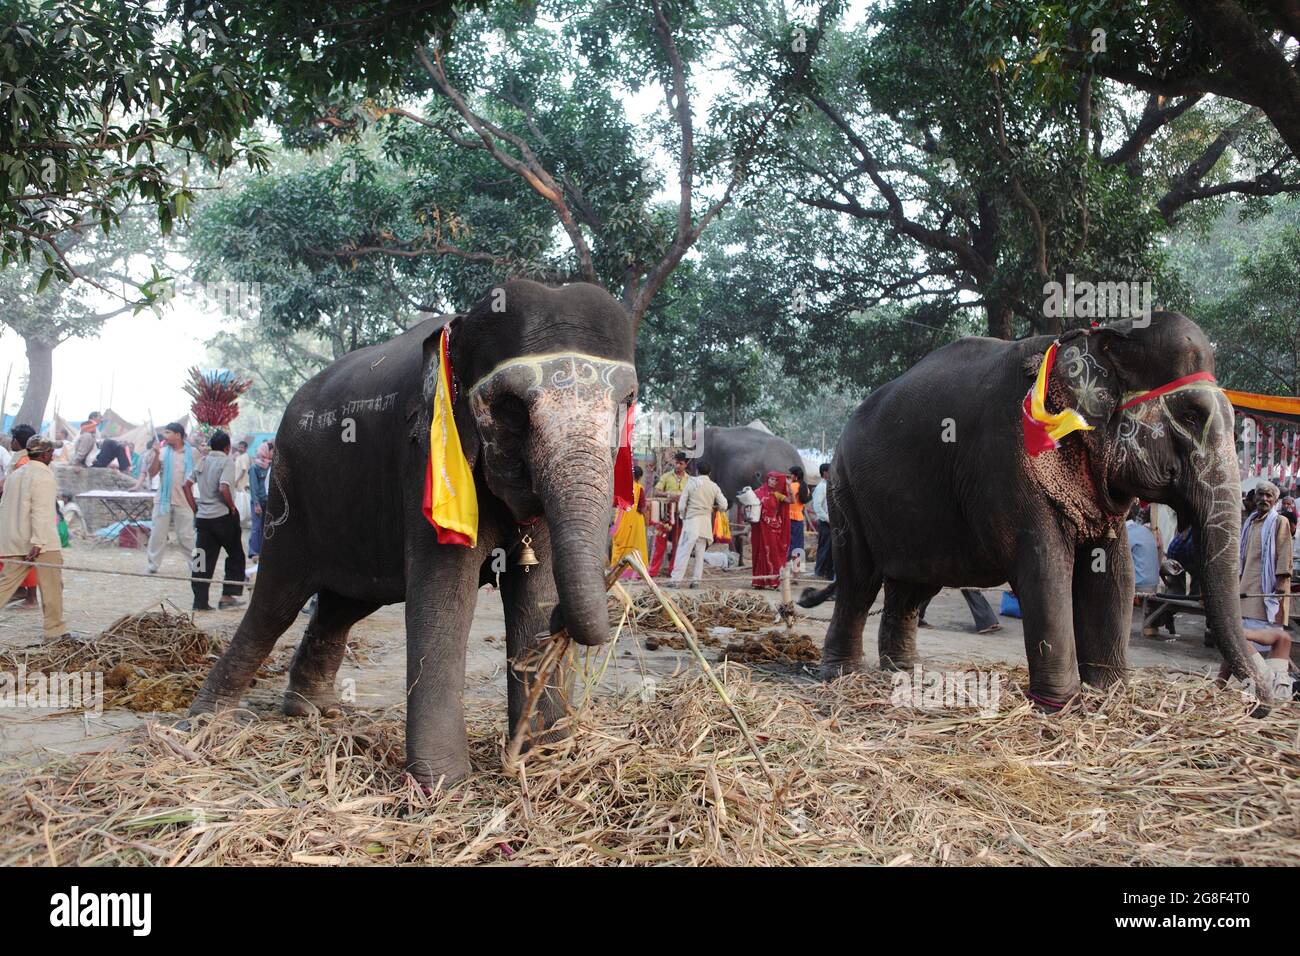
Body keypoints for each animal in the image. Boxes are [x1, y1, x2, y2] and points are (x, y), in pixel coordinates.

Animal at [189, 280, 638, 786]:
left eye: (626, 402)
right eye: (511, 408)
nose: (563, 623)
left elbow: (534, 591)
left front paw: (544, 760)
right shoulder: (425, 460)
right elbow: (445, 597)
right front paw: (444, 785)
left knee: (342, 605)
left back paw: (314, 711)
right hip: (288, 497)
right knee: (275, 601)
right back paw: (206, 721)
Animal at [799, 313, 1273, 705]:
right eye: (1192, 416)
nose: (1255, 699)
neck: (1102, 335)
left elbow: (1114, 574)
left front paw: (1110, 695)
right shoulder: (1006, 463)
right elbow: (1045, 567)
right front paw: (1060, 706)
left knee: (912, 586)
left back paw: (906, 672)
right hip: (846, 493)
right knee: (859, 581)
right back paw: (840, 676)